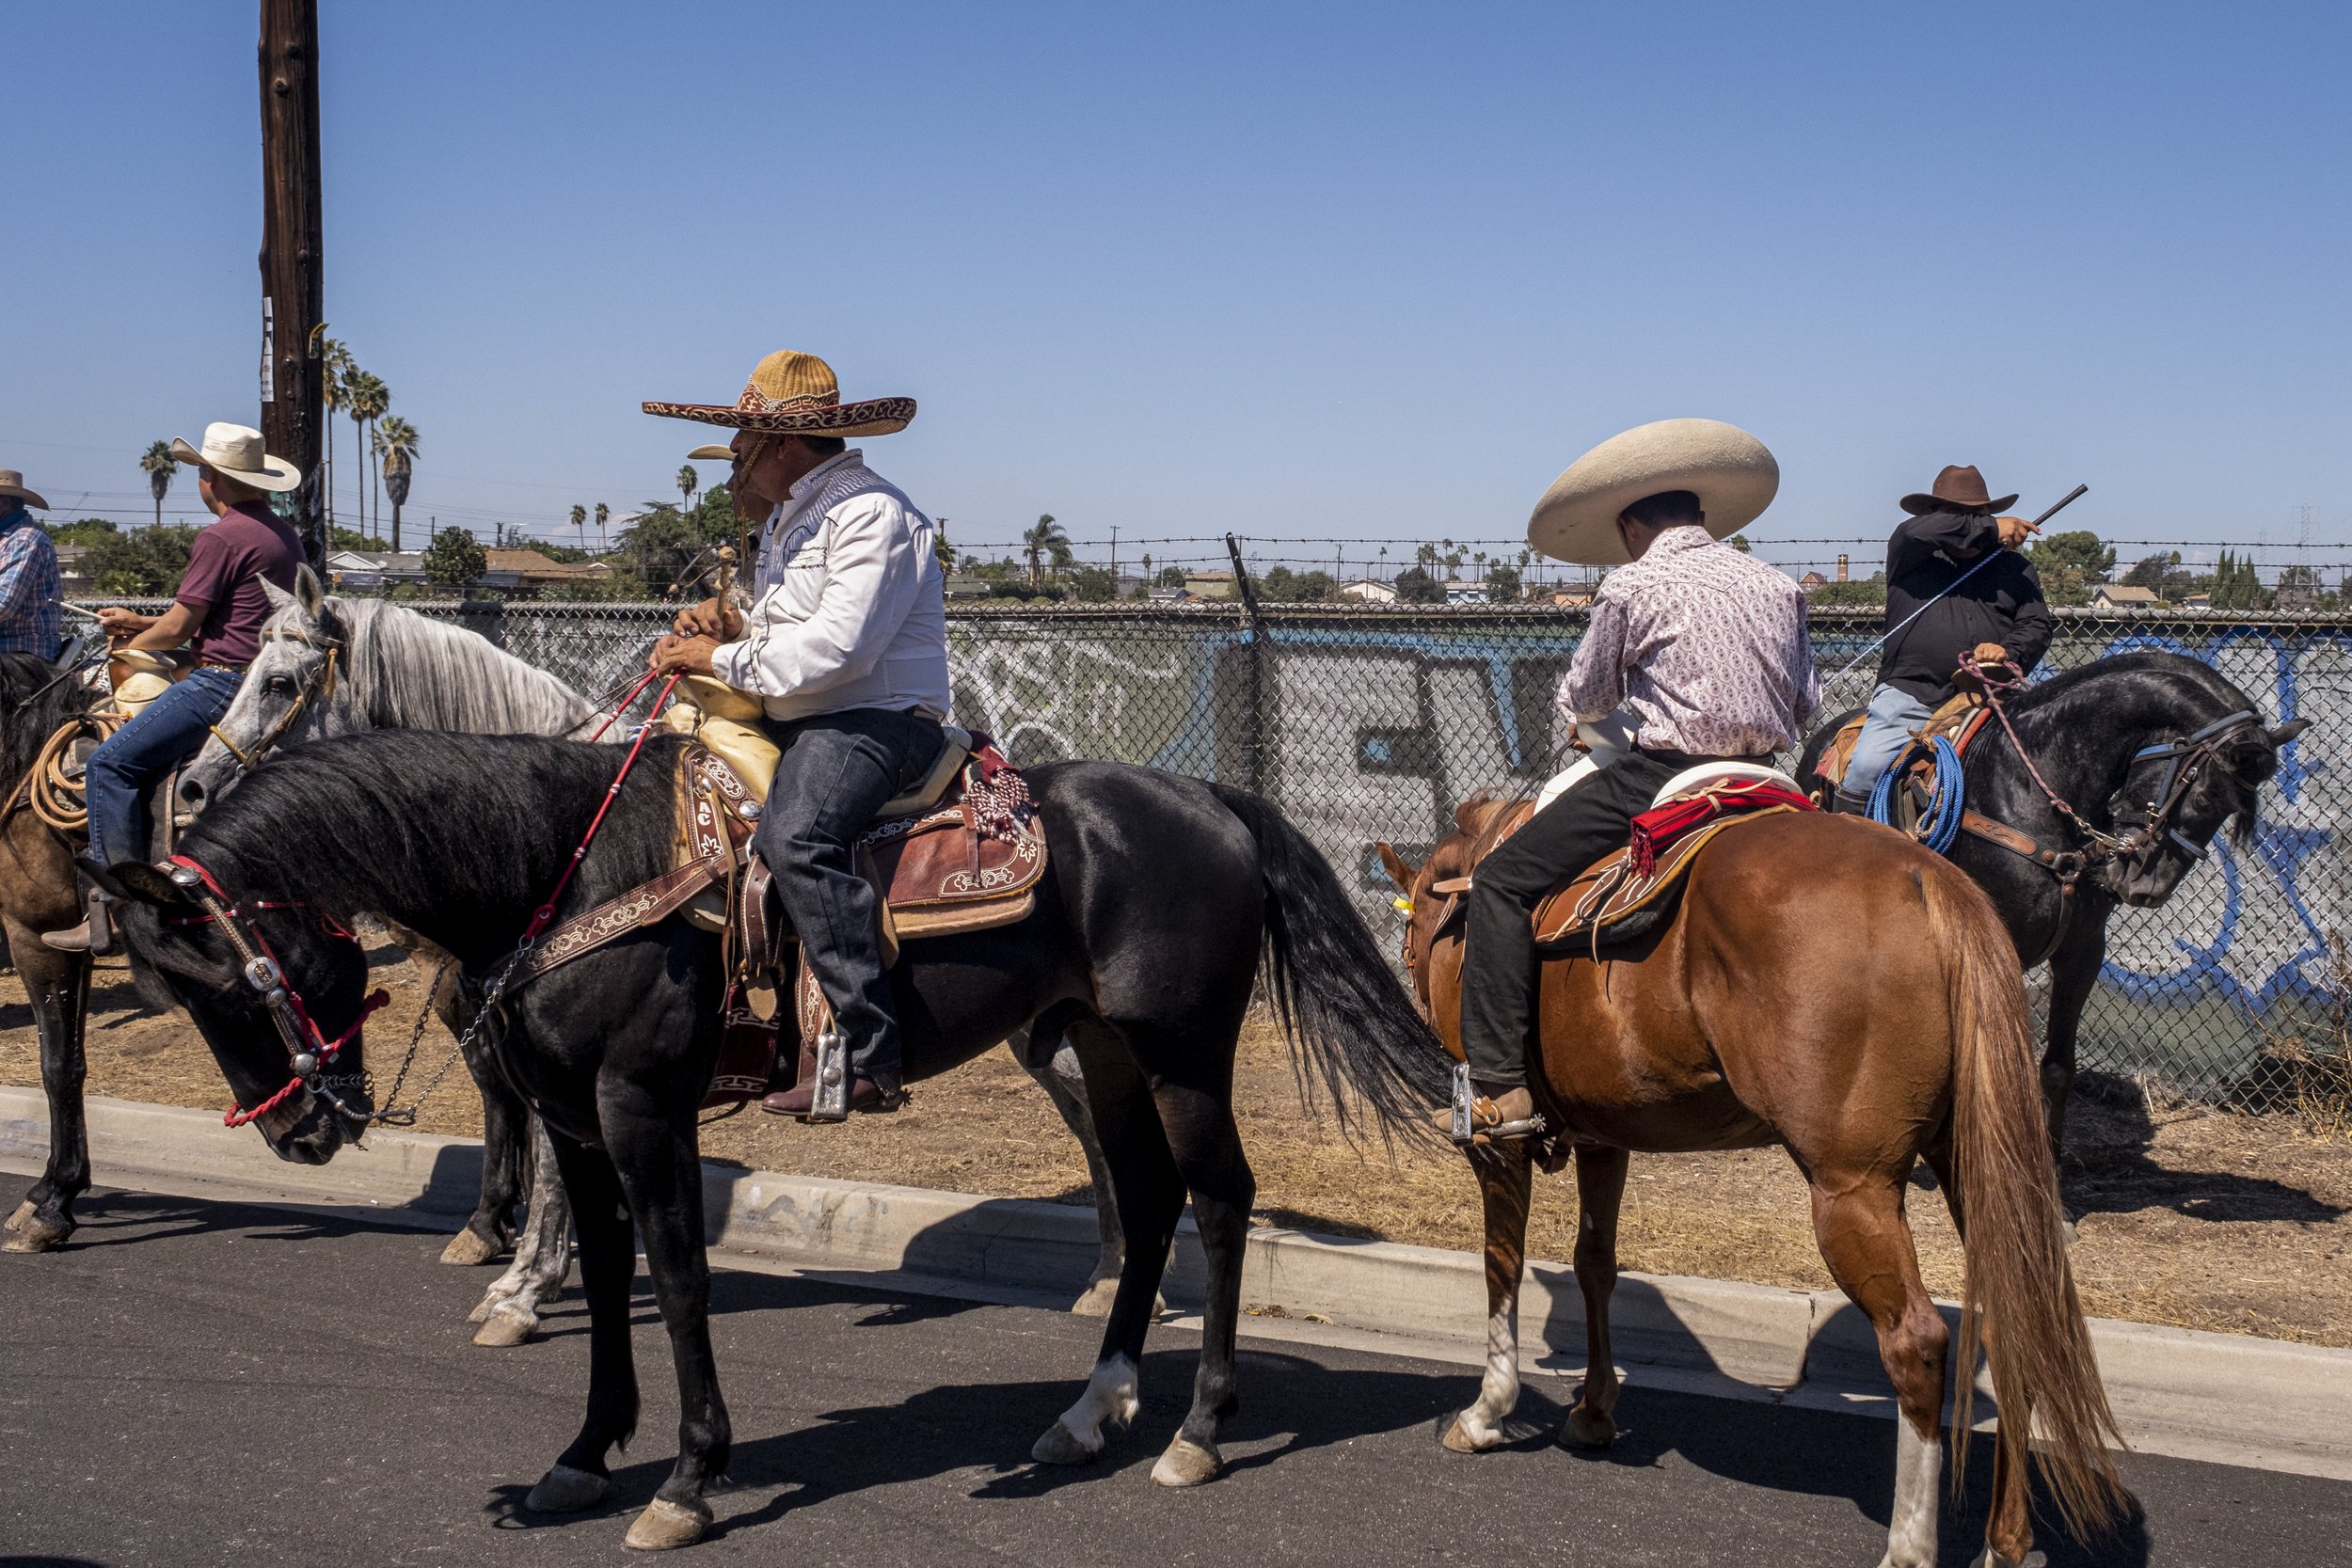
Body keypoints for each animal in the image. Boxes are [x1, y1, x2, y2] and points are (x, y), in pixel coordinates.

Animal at [101, 728, 1439, 1551]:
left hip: (1179, 1053)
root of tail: (1214, 800)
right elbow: (606, 1274)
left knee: (1219, 1197)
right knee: (1154, 1202)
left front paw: (690, 1479)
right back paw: (1090, 1409)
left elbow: (682, 1274)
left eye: (218, 984)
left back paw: (1199, 1430)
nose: (298, 1131)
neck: (568, 868)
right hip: (1098, 1046)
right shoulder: (576, 1118)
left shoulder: (642, 1103)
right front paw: (583, 1453)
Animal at [183, 571, 1129, 1344]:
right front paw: (524, 1262)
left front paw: (523, 1287)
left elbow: (550, 1160)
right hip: (1048, 1031)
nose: (191, 784)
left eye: (278, 681)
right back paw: (1112, 1281)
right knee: (1102, 1134)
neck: (565, 830)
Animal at [1374, 803, 2136, 1568]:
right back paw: (2006, 1542)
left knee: (1917, 1344)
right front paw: (1592, 1409)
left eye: (1409, 948)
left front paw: (1488, 1411)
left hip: (1851, 1189)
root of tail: (1928, 877)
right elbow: (1596, 1266)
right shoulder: (1603, 1139)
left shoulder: (1498, 1151)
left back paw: (1910, 1547)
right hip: (1970, 1167)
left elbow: (1502, 1264)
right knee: (2011, 1324)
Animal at [1806, 648, 2305, 1151]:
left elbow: (2057, 1066)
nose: (2146, 888)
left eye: (2227, 810)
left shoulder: (2082, 950)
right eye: (2203, 797)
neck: (2029, 789)